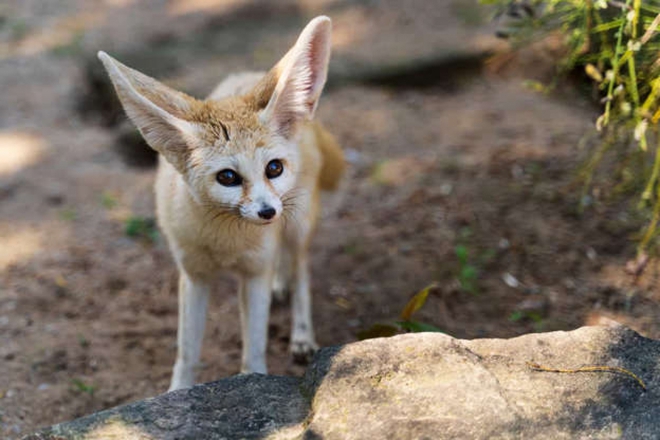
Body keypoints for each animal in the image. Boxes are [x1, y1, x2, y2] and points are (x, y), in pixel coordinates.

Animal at [99, 15, 346, 390]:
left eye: (274, 168)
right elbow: (187, 350)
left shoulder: (254, 272)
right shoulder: (193, 275)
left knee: (301, 269)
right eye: (228, 177)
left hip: (298, 223)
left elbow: (254, 349)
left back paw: (302, 333)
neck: (226, 241)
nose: (267, 212)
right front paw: (178, 391)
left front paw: (254, 383)